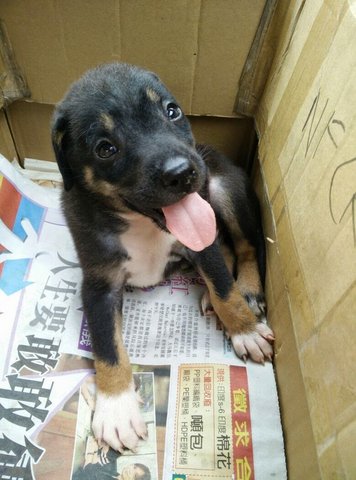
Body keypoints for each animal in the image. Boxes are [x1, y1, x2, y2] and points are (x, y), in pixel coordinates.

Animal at [50, 63, 272, 454]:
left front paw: (245, 330)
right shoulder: (99, 284)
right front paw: (117, 408)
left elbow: (224, 288)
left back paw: (246, 292)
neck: (140, 223)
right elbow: (107, 344)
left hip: (222, 188)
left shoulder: (200, 242)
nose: (182, 173)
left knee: (245, 247)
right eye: (105, 148)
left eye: (171, 111)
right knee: (229, 247)